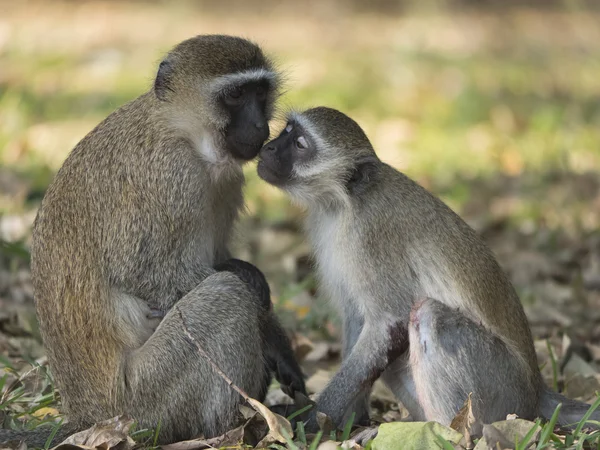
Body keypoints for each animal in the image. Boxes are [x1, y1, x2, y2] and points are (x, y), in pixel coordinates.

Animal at [0, 35, 304, 446]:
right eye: (235, 95)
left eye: (260, 92)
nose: (260, 124)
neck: (181, 131)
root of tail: (87, 417)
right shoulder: (173, 177)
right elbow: (145, 274)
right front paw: (265, 316)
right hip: (144, 403)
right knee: (226, 292)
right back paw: (236, 426)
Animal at [258, 106, 600, 432]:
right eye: (287, 130)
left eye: (300, 145)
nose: (268, 147)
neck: (346, 201)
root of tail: (536, 389)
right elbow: (360, 319)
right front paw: (347, 420)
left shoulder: (370, 239)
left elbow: (389, 323)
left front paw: (312, 420)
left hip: (504, 388)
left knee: (427, 314)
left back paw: (448, 433)